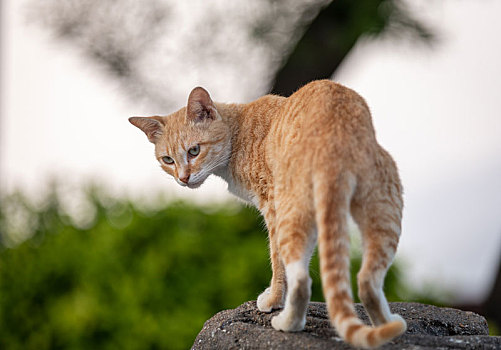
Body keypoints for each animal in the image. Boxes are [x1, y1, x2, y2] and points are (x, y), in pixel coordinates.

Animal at [129, 80, 406, 348]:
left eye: (194, 151)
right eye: (168, 160)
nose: (183, 179)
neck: (237, 132)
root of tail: (335, 137)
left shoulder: (272, 206)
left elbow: (277, 262)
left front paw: (273, 299)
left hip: (291, 209)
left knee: (302, 279)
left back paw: (287, 322)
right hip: (385, 208)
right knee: (367, 280)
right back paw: (387, 325)